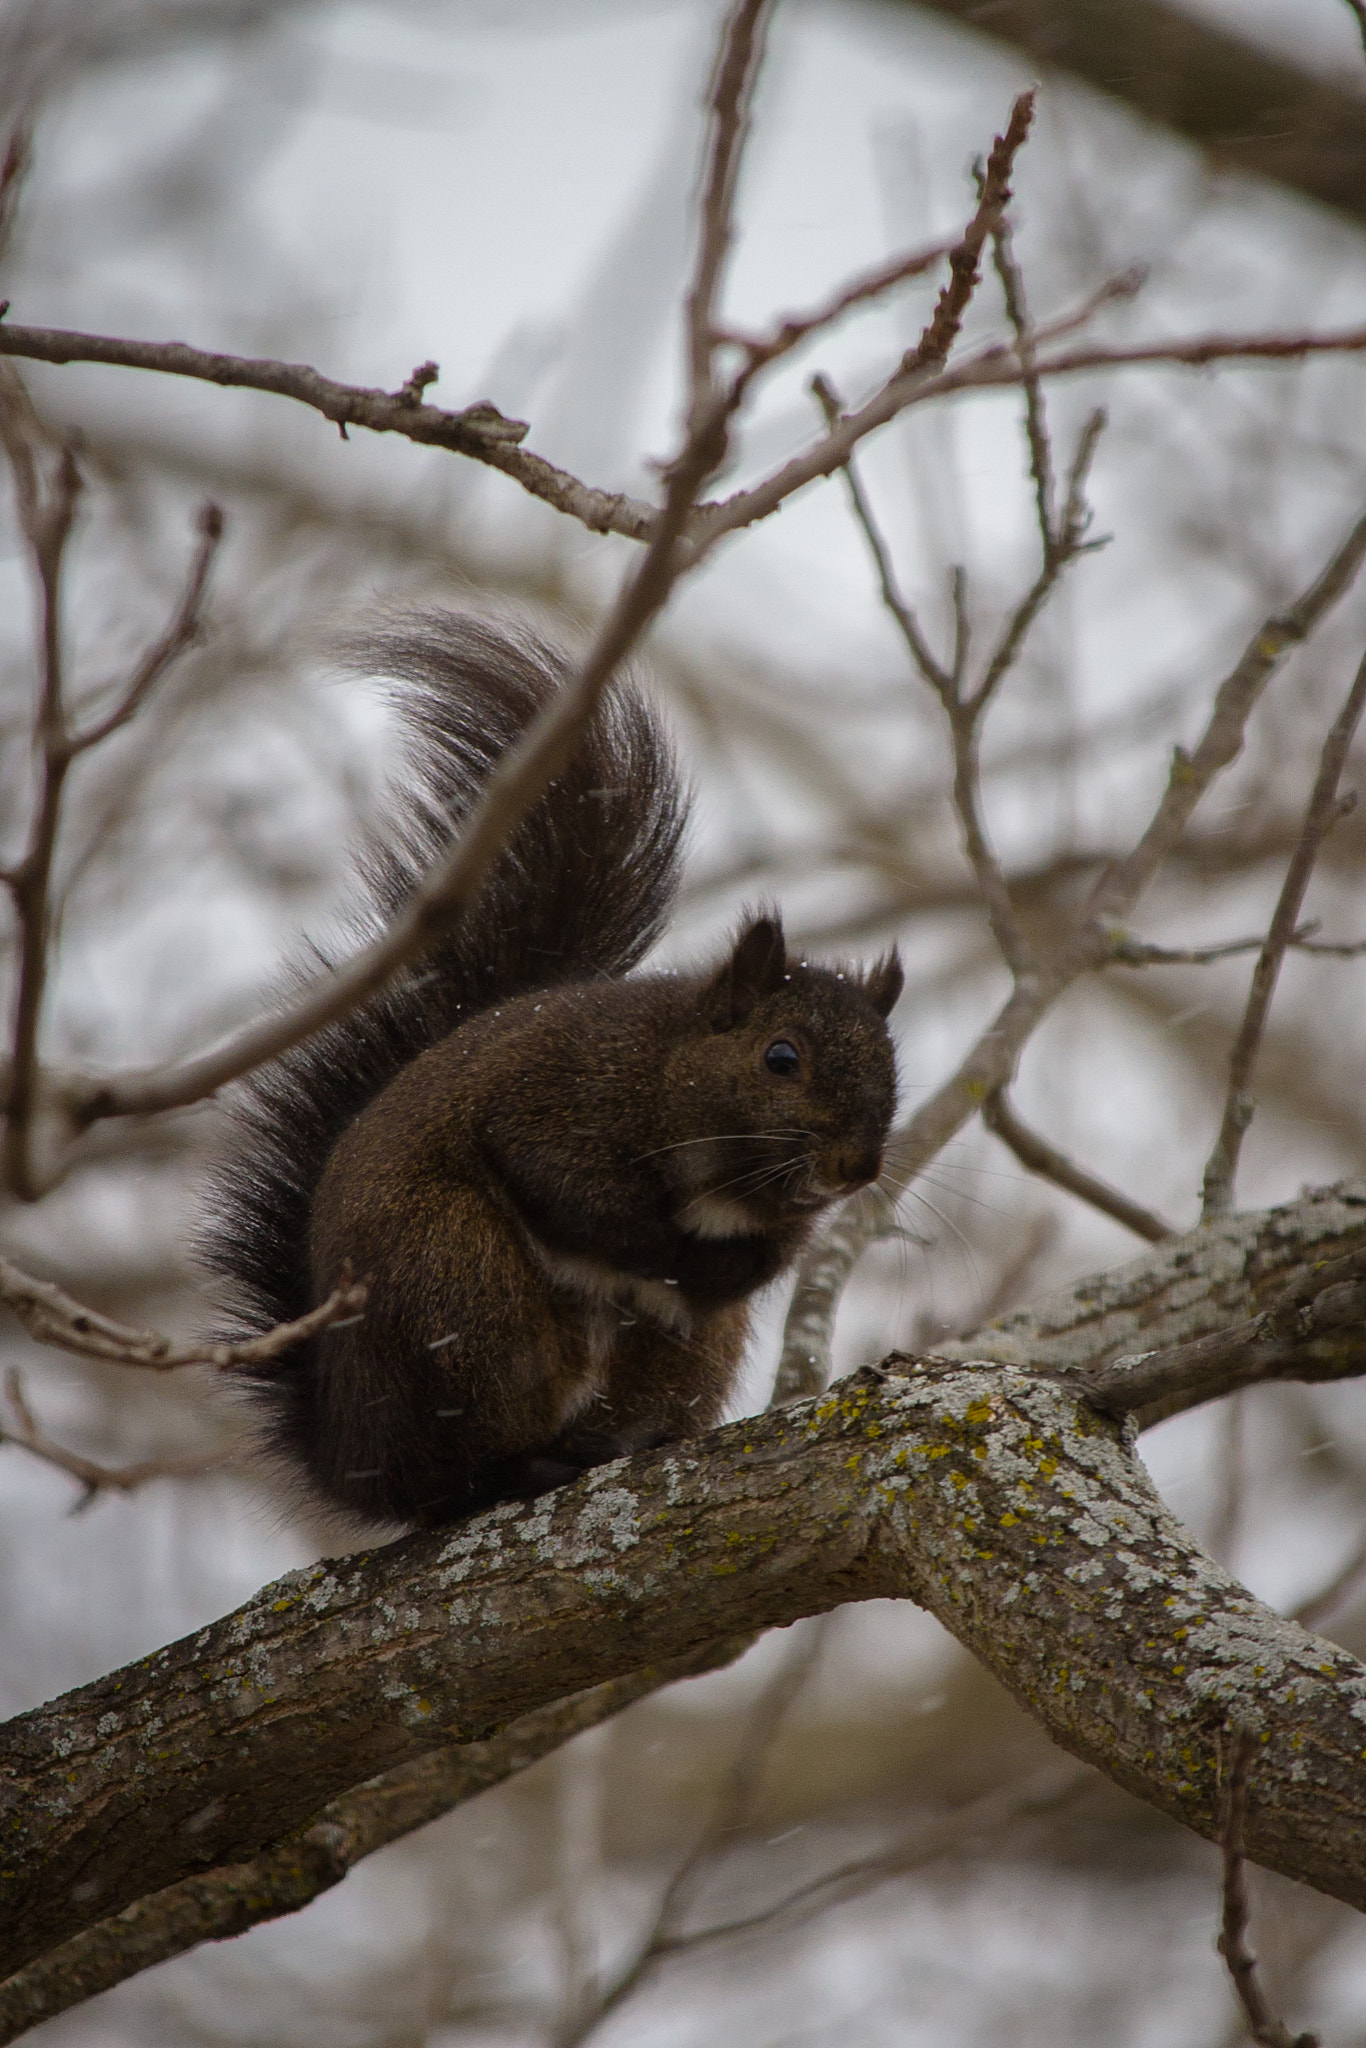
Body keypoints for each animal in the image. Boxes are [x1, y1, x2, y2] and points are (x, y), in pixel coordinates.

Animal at [202, 613, 902, 1528]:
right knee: (455, 1475)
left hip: (674, 1360)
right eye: (780, 1057)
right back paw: (519, 1469)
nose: (857, 1167)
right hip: (455, 1278)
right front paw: (671, 1255)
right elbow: (575, 1192)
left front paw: (725, 1268)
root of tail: (352, 1455)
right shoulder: (559, 1098)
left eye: (894, 1065)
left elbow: (765, 1262)